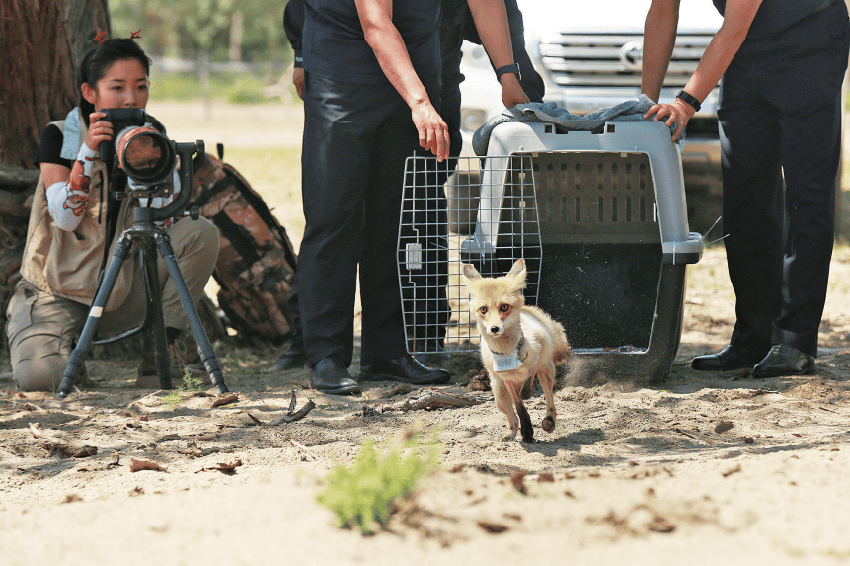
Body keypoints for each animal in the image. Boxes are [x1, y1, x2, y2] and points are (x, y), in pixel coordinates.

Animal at [460, 260, 572, 446]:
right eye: (483, 309)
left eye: (504, 307)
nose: (494, 328)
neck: (507, 353)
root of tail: (532, 310)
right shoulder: (506, 378)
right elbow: (519, 407)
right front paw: (527, 432)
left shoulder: (535, 360)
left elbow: (527, 383)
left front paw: (527, 392)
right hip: (499, 396)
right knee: (512, 417)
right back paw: (512, 432)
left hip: (546, 372)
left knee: (550, 399)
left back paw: (549, 421)